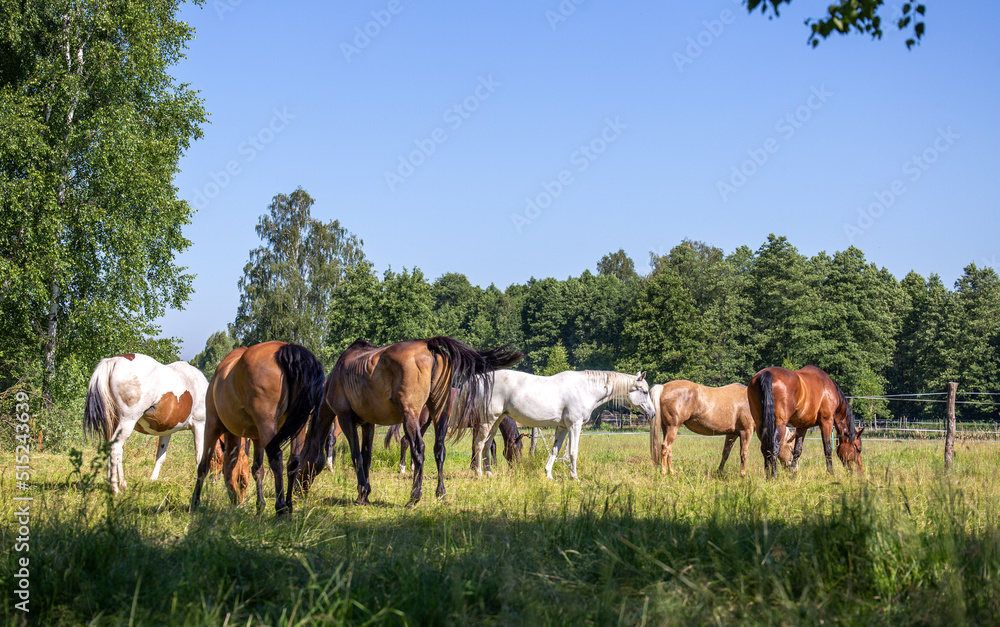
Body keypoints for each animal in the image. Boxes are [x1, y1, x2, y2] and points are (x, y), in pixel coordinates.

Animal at [85, 354, 209, 496]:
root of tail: (115, 360)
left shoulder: (167, 431)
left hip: (114, 422)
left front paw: (153, 480)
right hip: (127, 421)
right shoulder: (200, 425)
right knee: (115, 448)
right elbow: (199, 457)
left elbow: (161, 456)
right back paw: (115, 488)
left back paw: (121, 483)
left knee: (116, 450)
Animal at [298, 336, 524, 508]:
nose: (299, 489)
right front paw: (365, 493)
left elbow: (358, 457)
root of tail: (428, 344)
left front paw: (362, 494)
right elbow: (365, 456)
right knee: (431, 449)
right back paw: (432, 493)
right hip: (429, 416)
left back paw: (420, 494)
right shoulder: (365, 423)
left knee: (422, 448)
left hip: (419, 416)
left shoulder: (349, 420)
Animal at [472, 368, 660, 480]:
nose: (653, 413)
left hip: (497, 421)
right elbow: (572, 452)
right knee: (479, 445)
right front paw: (574, 477)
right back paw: (479, 473)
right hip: (488, 421)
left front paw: (548, 474)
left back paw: (489, 473)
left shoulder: (562, 427)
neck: (585, 389)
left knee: (487, 445)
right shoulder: (575, 426)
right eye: (644, 391)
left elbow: (555, 450)